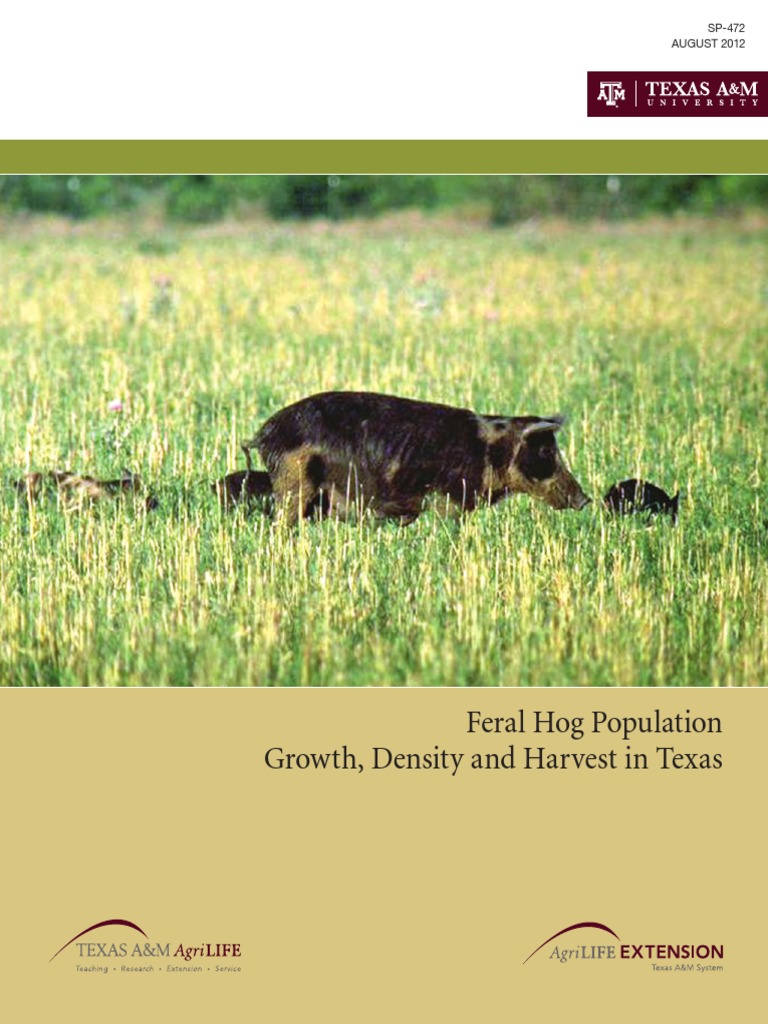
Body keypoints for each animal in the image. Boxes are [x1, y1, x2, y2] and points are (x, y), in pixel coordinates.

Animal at [241, 391, 590, 525]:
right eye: (546, 452)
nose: (585, 499)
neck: (490, 451)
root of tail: (265, 432)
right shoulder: (447, 500)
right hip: (293, 482)